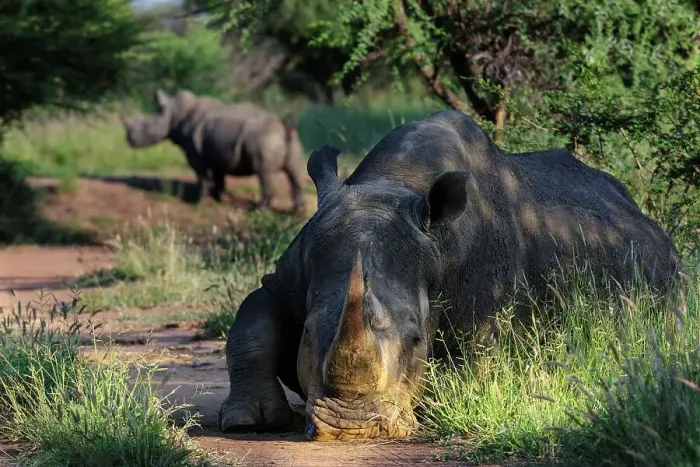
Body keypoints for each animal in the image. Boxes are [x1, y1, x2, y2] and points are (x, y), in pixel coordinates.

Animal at [121, 89, 306, 212]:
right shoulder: (217, 152)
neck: (173, 113)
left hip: (263, 139)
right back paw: (297, 212)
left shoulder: (195, 154)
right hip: (293, 141)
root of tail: (284, 126)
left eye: (146, 125)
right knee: (294, 173)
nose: (129, 141)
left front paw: (198, 202)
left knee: (263, 172)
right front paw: (219, 198)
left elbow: (202, 176)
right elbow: (218, 177)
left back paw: (259, 210)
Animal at [217, 110, 682, 441]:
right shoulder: (291, 274)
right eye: (308, 337)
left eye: (415, 339)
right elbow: (252, 325)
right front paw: (246, 422)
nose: (353, 428)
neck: (391, 184)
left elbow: (471, 364)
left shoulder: (489, 309)